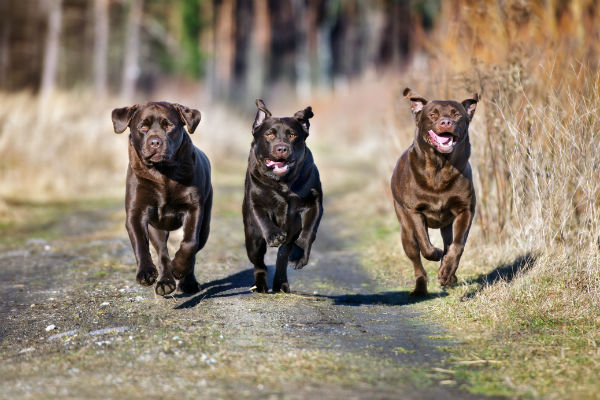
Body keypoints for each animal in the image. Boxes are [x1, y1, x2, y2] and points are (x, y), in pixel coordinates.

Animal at [243, 100, 324, 294]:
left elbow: (309, 231)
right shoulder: (254, 201)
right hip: (253, 239)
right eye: (269, 134)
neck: (283, 183)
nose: (282, 148)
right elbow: (263, 217)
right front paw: (274, 235)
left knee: (282, 254)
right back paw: (261, 285)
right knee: (259, 263)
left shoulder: (314, 202)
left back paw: (281, 283)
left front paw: (299, 257)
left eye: (293, 135)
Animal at [392, 89, 480, 296]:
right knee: (416, 256)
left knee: (449, 242)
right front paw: (436, 253)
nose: (446, 122)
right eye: (432, 114)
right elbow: (425, 245)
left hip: (447, 225)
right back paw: (420, 288)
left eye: (456, 114)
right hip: (405, 228)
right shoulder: (415, 211)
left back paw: (449, 275)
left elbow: (457, 245)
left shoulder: (465, 210)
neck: (440, 167)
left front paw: (446, 273)